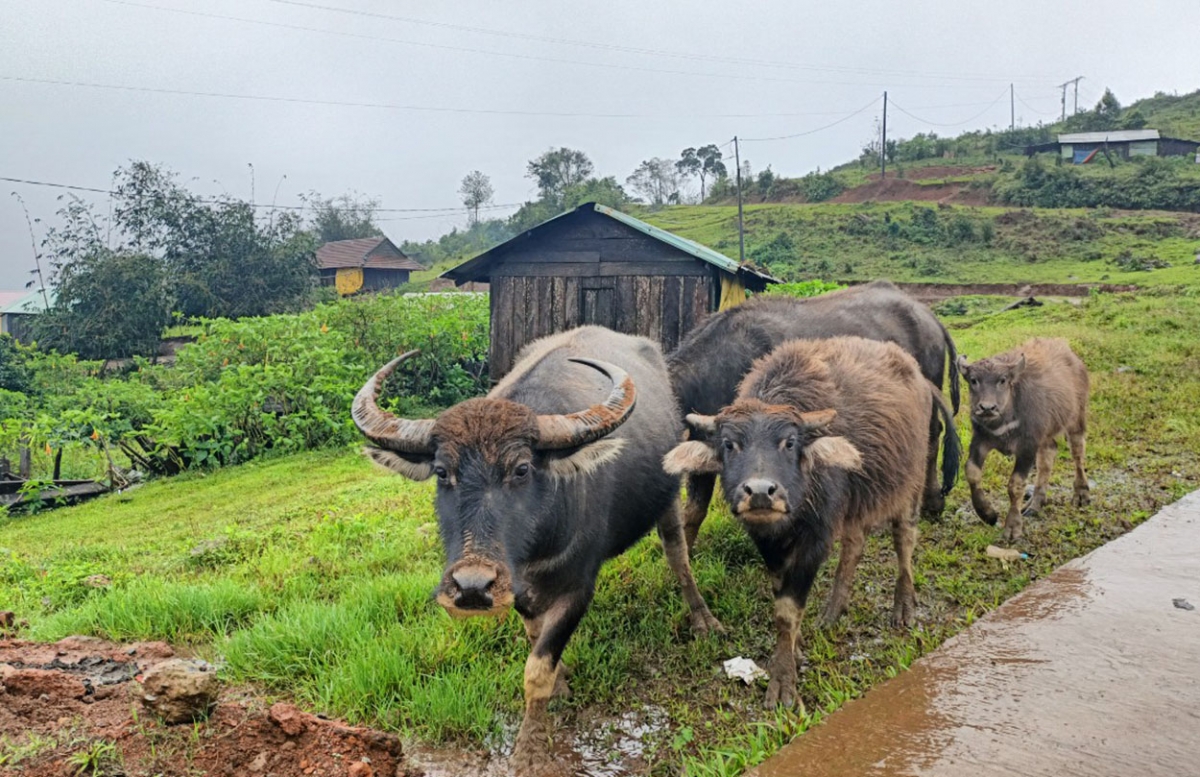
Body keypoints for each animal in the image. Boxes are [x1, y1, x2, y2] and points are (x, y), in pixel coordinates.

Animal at [350, 323, 715, 772]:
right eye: (442, 472)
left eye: (522, 469)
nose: (472, 588)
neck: (533, 548)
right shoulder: (517, 591)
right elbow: (534, 636)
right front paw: (562, 681)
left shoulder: (578, 588)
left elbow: (536, 670)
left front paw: (528, 751)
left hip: (666, 497)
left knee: (678, 553)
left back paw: (702, 618)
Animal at [662, 335, 960, 705]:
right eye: (729, 445)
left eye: (789, 443)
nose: (760, 492)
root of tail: (920, 378)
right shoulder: (769, 544)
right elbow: (781, 596)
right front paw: (797, 646)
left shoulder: (816, 538)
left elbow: (787, 610)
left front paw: (783, 680)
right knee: (854, 546)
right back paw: (833, 611)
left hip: (910, 481)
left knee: (904, 537)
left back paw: (903, 606)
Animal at [960, 335, 1094, 544]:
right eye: (974, 380)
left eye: (1002, 380)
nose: (987, 408)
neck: (1004, 420)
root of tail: (1072, 356)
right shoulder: (980, 439)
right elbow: (971, 472)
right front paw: (987, 514)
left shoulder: (1027, 447)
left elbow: (1015, 485)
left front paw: (1012, 528)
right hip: (1046, 434)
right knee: (1048, 455)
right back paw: (1035, 504)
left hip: (1076, 418)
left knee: (1077, 452)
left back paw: (1081, 494)